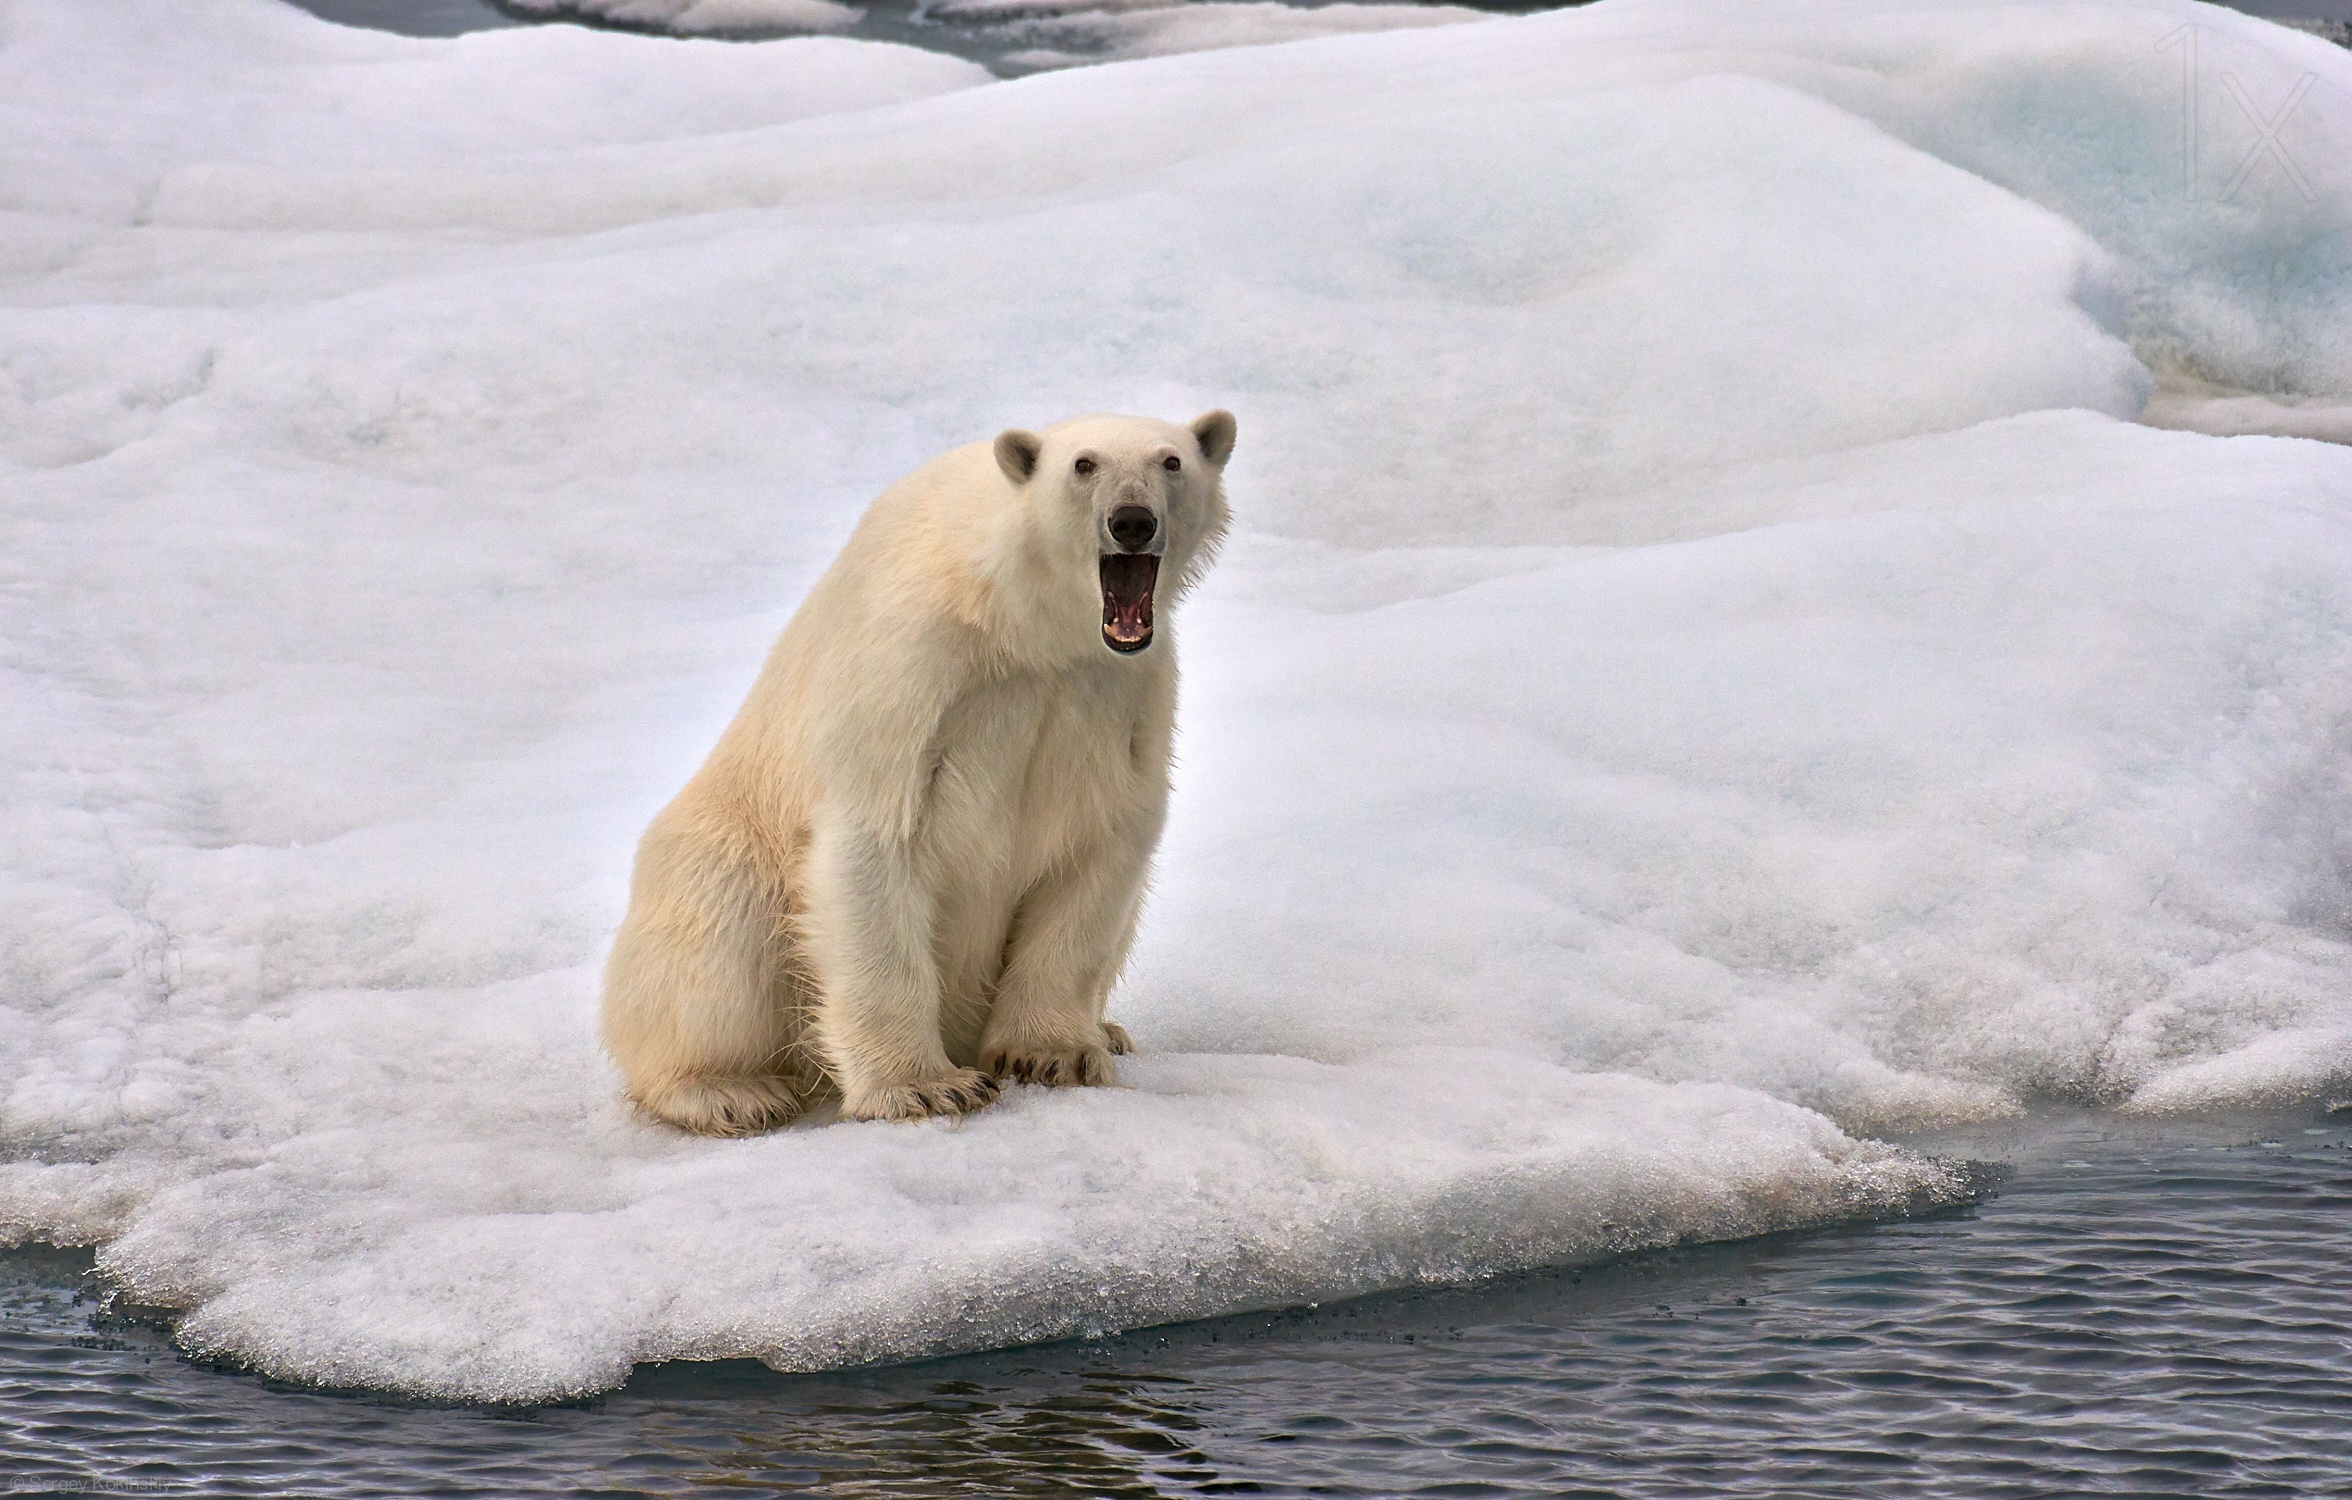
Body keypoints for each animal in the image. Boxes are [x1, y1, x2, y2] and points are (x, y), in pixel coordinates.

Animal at [597, 404, 1241, 1133]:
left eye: (1171, 461)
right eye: (1084, 465)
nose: (1132, 521)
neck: (1018, 618)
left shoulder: (1115, 694)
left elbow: (1098, 851)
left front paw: (1056, 1053)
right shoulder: (914, 666)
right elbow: (876, 840)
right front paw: (926, 1087)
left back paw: (1111, 1030)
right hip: (726, 848)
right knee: (717, 938)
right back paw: (729, 1089)